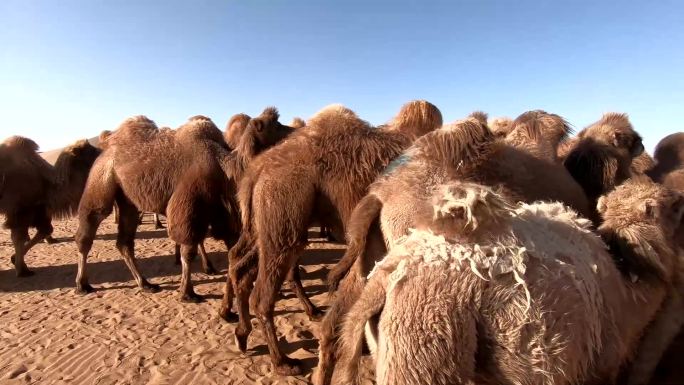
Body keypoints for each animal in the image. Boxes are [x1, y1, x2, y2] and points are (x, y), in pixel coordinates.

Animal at [0, 136, 101, 274]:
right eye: (90, 151)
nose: (102, 151)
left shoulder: (37, 209)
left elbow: (44, 230)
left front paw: (15, 260)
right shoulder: (21, 210)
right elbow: (19, 238)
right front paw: (23, 270)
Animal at [219, 100, 444, 376]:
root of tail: (258, 169)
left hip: (264, 226)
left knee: (242, 265)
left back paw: (242, 334)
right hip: (283, 210)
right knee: (262, 292)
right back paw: (284, 363)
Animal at [338, 179, 684, 384]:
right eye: (675, 207)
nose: (679, 194)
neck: (627, 286)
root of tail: (384, 276)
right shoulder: (599, 367)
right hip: (423, 341)